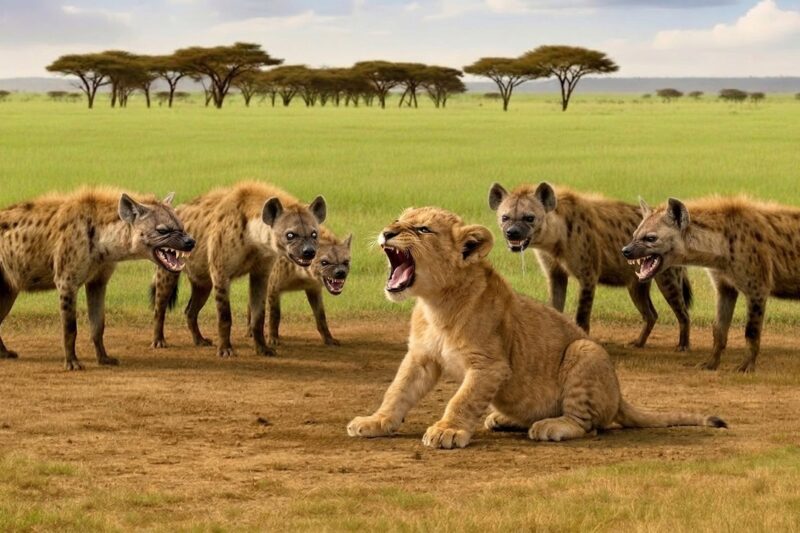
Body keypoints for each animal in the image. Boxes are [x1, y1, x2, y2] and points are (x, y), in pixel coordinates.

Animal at [347, 207, 726, 449]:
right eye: (398, 220)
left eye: (422, 230)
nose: (387, 232)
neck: (436, 303)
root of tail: (619, 396)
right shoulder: (421, 358)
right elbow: (397, 391)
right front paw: (375, 422)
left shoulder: (490, 365)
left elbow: (462, 399)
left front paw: (447, 431)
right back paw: (505, 419)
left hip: (584, 350)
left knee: (587, 425)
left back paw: (550, 426)